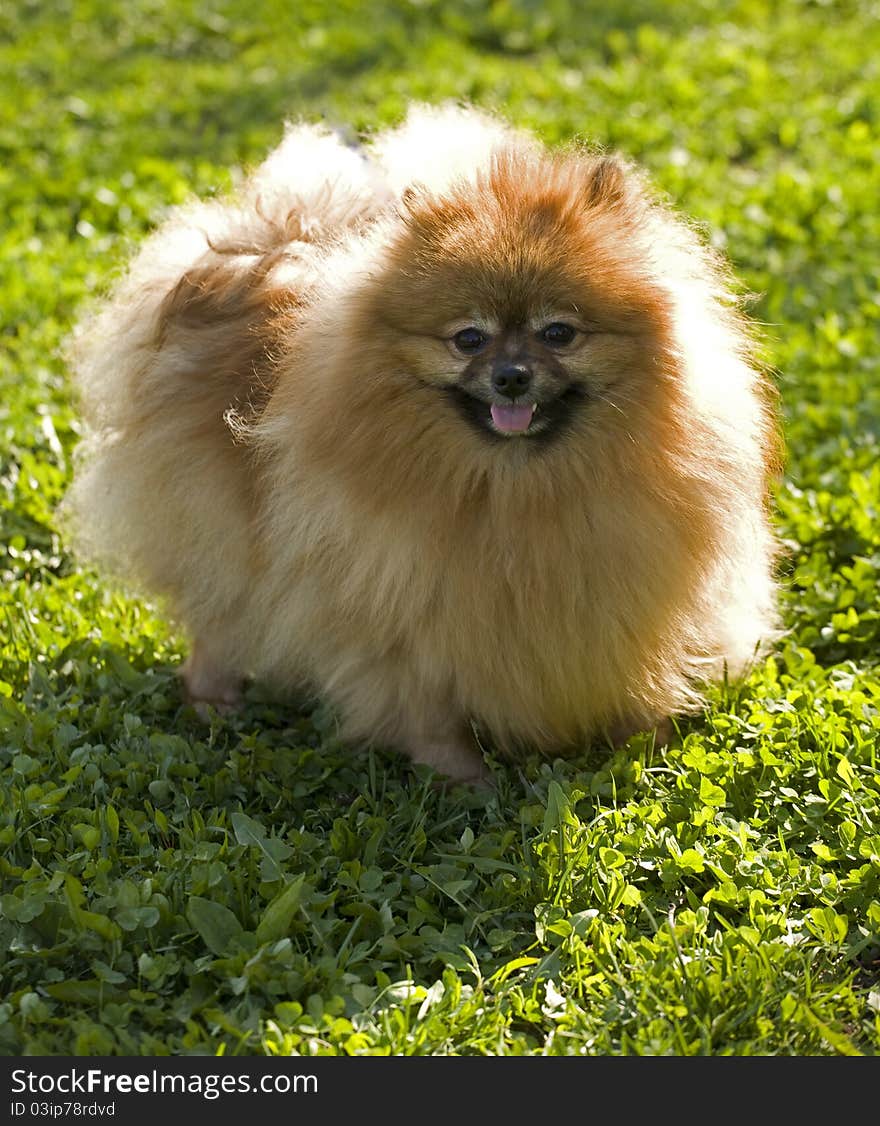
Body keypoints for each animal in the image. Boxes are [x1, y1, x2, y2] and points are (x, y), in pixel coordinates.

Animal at [70, 105, 787, 783]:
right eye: (468, 339)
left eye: (559, 333)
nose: (511, 375)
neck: (516, 492)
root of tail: (271, 241)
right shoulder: (403, 607)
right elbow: (428, 709)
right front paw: (463, 781)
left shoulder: (627, 593)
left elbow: (634, 676)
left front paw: (647, 749)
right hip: (218, 523)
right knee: (218, 614)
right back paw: (213, 700)